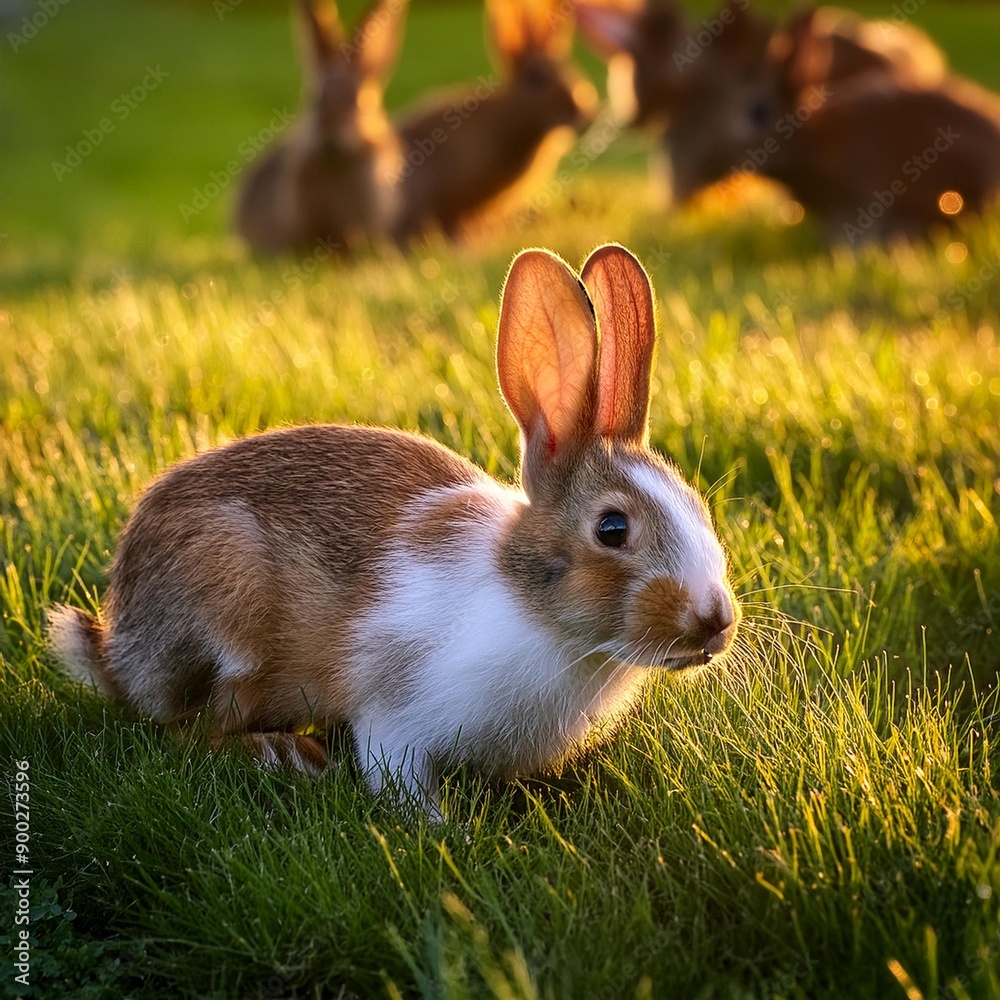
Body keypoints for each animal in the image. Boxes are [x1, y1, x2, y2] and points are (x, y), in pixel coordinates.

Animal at [48, 244, 741, 819]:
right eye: (612, 528)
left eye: (698, 509)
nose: (716, 622)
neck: (537, 612)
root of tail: (119, 652)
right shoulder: (397, 713)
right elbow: (396, 773)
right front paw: (441, 830)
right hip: (230, 613)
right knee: (193, 732)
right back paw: (288, 754)